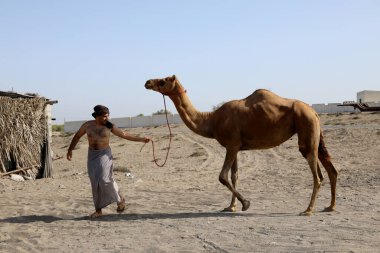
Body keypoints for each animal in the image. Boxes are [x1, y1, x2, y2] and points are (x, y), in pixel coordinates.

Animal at [145, 75, 338, 215]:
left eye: (163, 80)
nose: (147, 82)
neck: (211, 120)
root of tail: (314, 111)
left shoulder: (231, 144)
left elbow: (222, 176)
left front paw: (246, 204)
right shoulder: (236, 146)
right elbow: (234, 176)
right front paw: (231, 207)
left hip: (306, 129)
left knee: (317, 175)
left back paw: (308, 210)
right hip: (315, 135)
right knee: (331, 170)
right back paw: (330, 207)